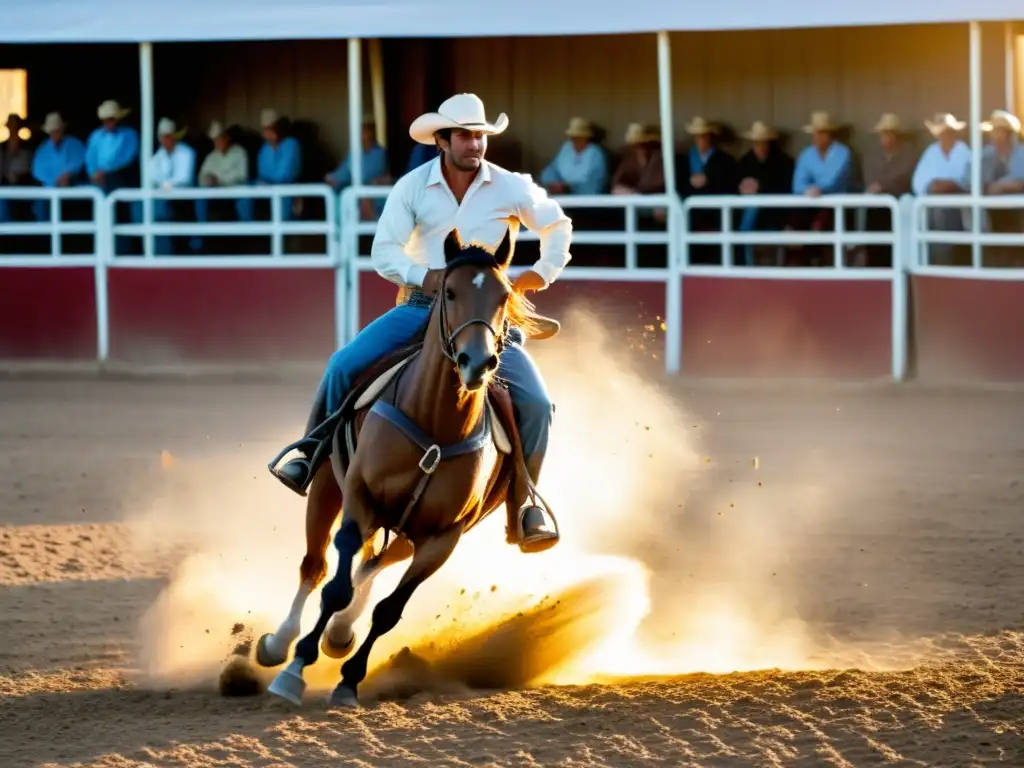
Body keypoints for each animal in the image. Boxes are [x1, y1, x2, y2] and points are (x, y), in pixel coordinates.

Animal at [260, 227, 557, 708]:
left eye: (504, 295)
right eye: (449, 292)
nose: (478, 363)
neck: (435, 422)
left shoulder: (442, 537)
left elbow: (388, 611)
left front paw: (348, 680)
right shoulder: (359, 496)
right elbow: (335, 587)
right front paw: (294, 670)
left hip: (403, 530)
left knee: (371, 565)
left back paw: (339, 635)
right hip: (327, 488)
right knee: (316, 565)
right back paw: (278, 643)